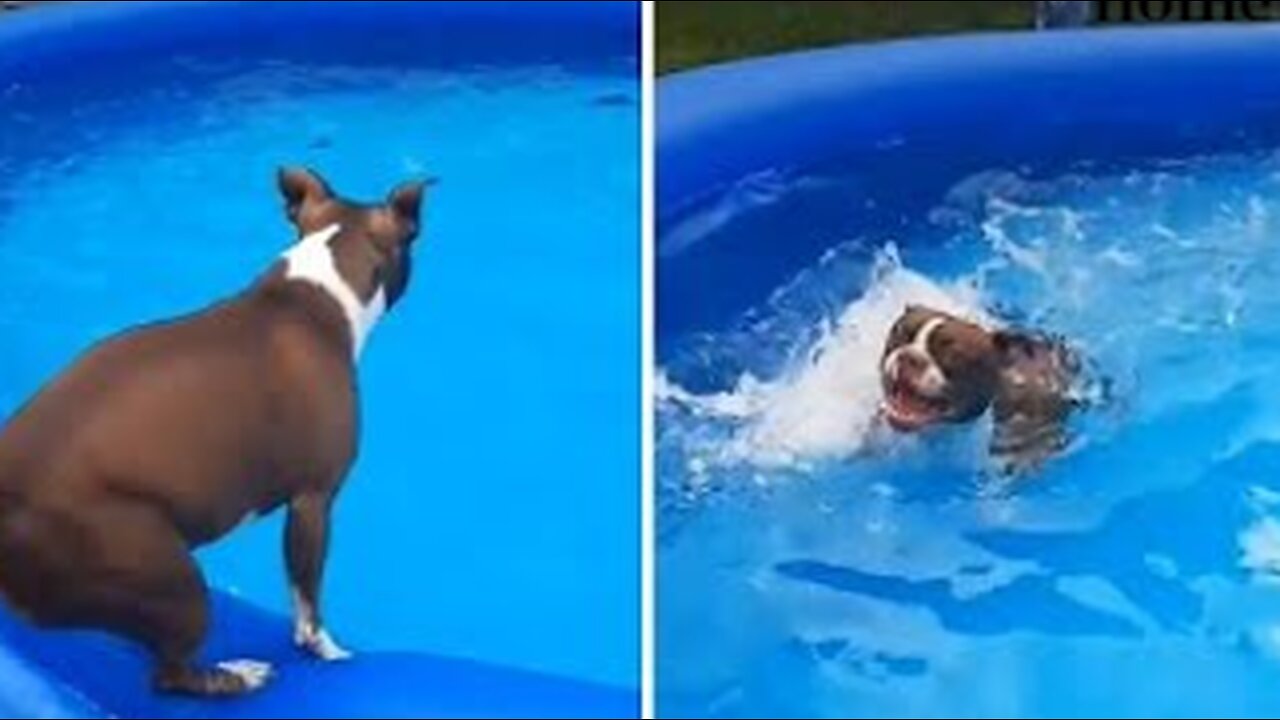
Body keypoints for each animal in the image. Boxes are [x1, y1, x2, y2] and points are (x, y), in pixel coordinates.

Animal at [0, 167, 432, 696]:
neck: (311, 293)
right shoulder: (313, 501)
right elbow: (307, 601)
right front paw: (328, 654)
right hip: (165, 574)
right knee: (169, 673)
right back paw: (236, 676)